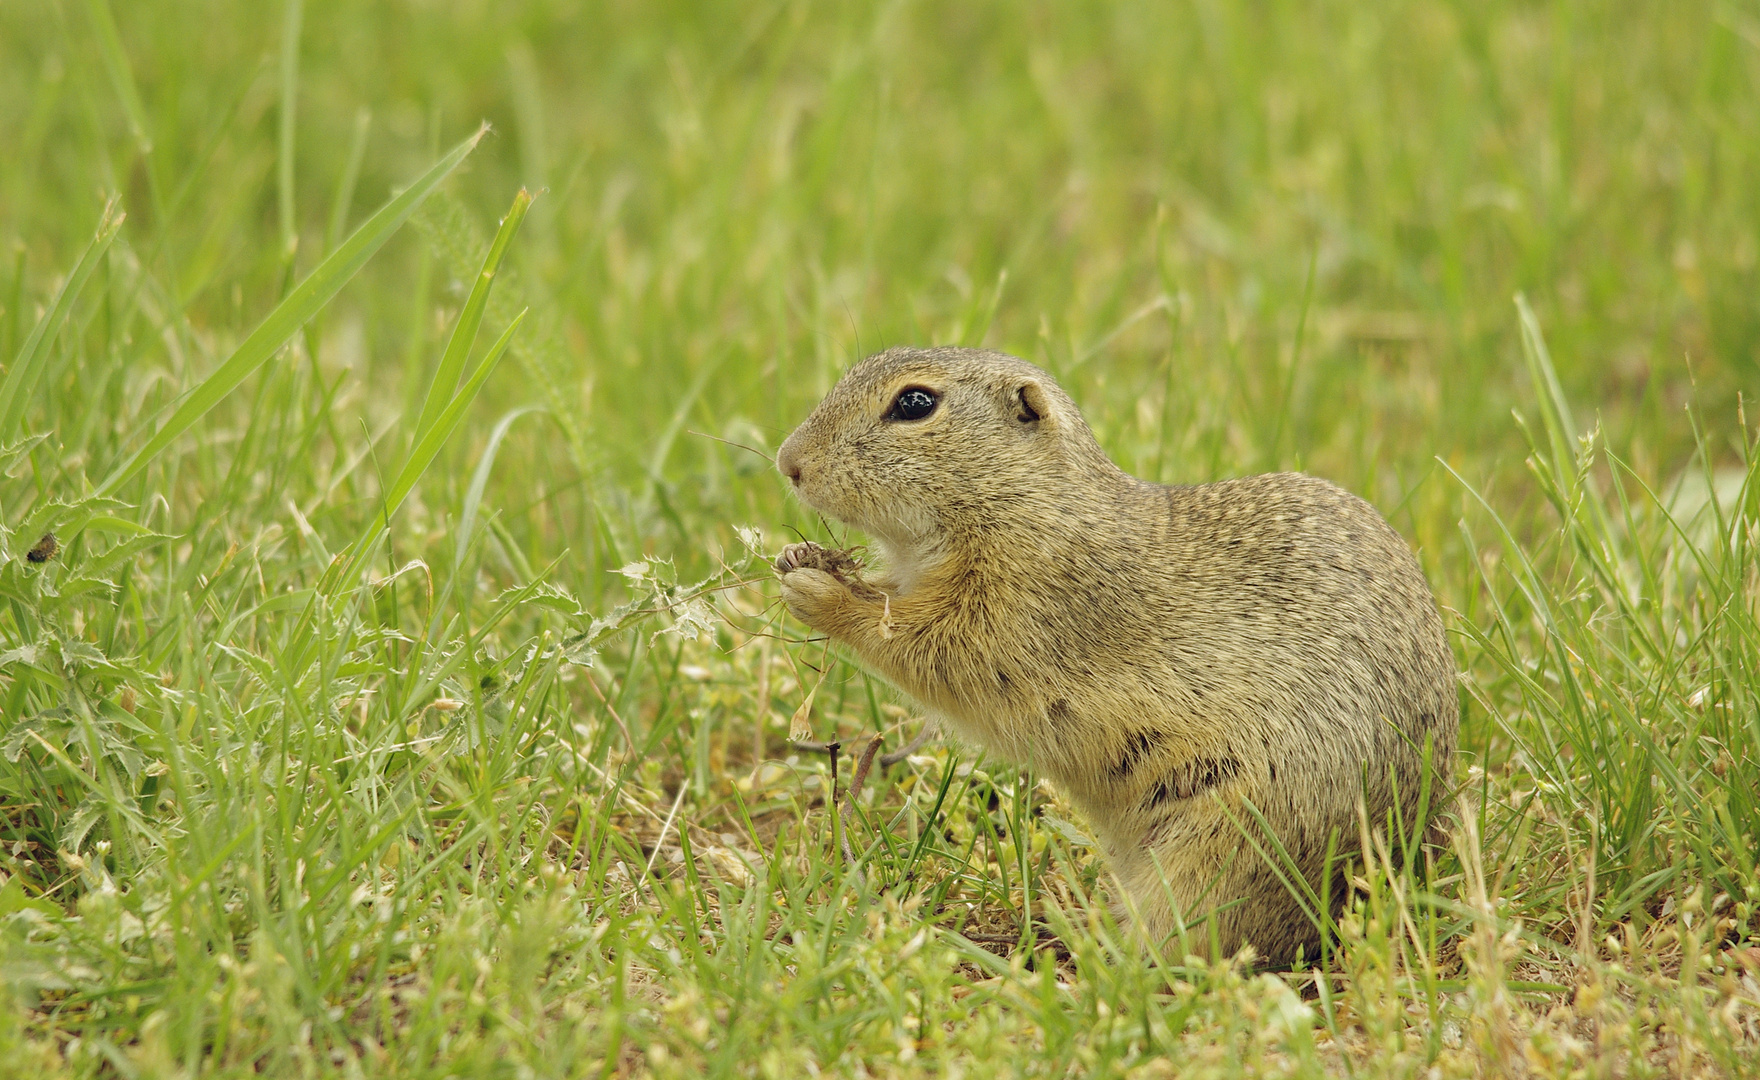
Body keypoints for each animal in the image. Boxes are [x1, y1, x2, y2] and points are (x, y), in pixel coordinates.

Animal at [774, 346, 1457, 963]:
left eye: (915, 403)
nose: (788, 462)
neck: (1033, 502)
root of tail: (1409, 865)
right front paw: (800, 557)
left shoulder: (1019, 611)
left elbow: (923, 646)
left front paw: (817, 594)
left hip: (1228, 846)